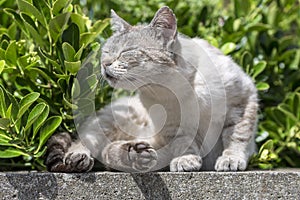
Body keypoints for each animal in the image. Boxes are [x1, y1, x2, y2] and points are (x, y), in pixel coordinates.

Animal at [45, 6, 258, 172]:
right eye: (106, 52)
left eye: (126, 52)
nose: (104, 64)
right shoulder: (175, 126)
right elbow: (184, 143)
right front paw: (185, 160)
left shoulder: (242, 101)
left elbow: (237, 136)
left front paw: (230, 159)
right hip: (109, 122)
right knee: (89, 144)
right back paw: (86, 158)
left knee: (110, 152)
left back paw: (135, 154)